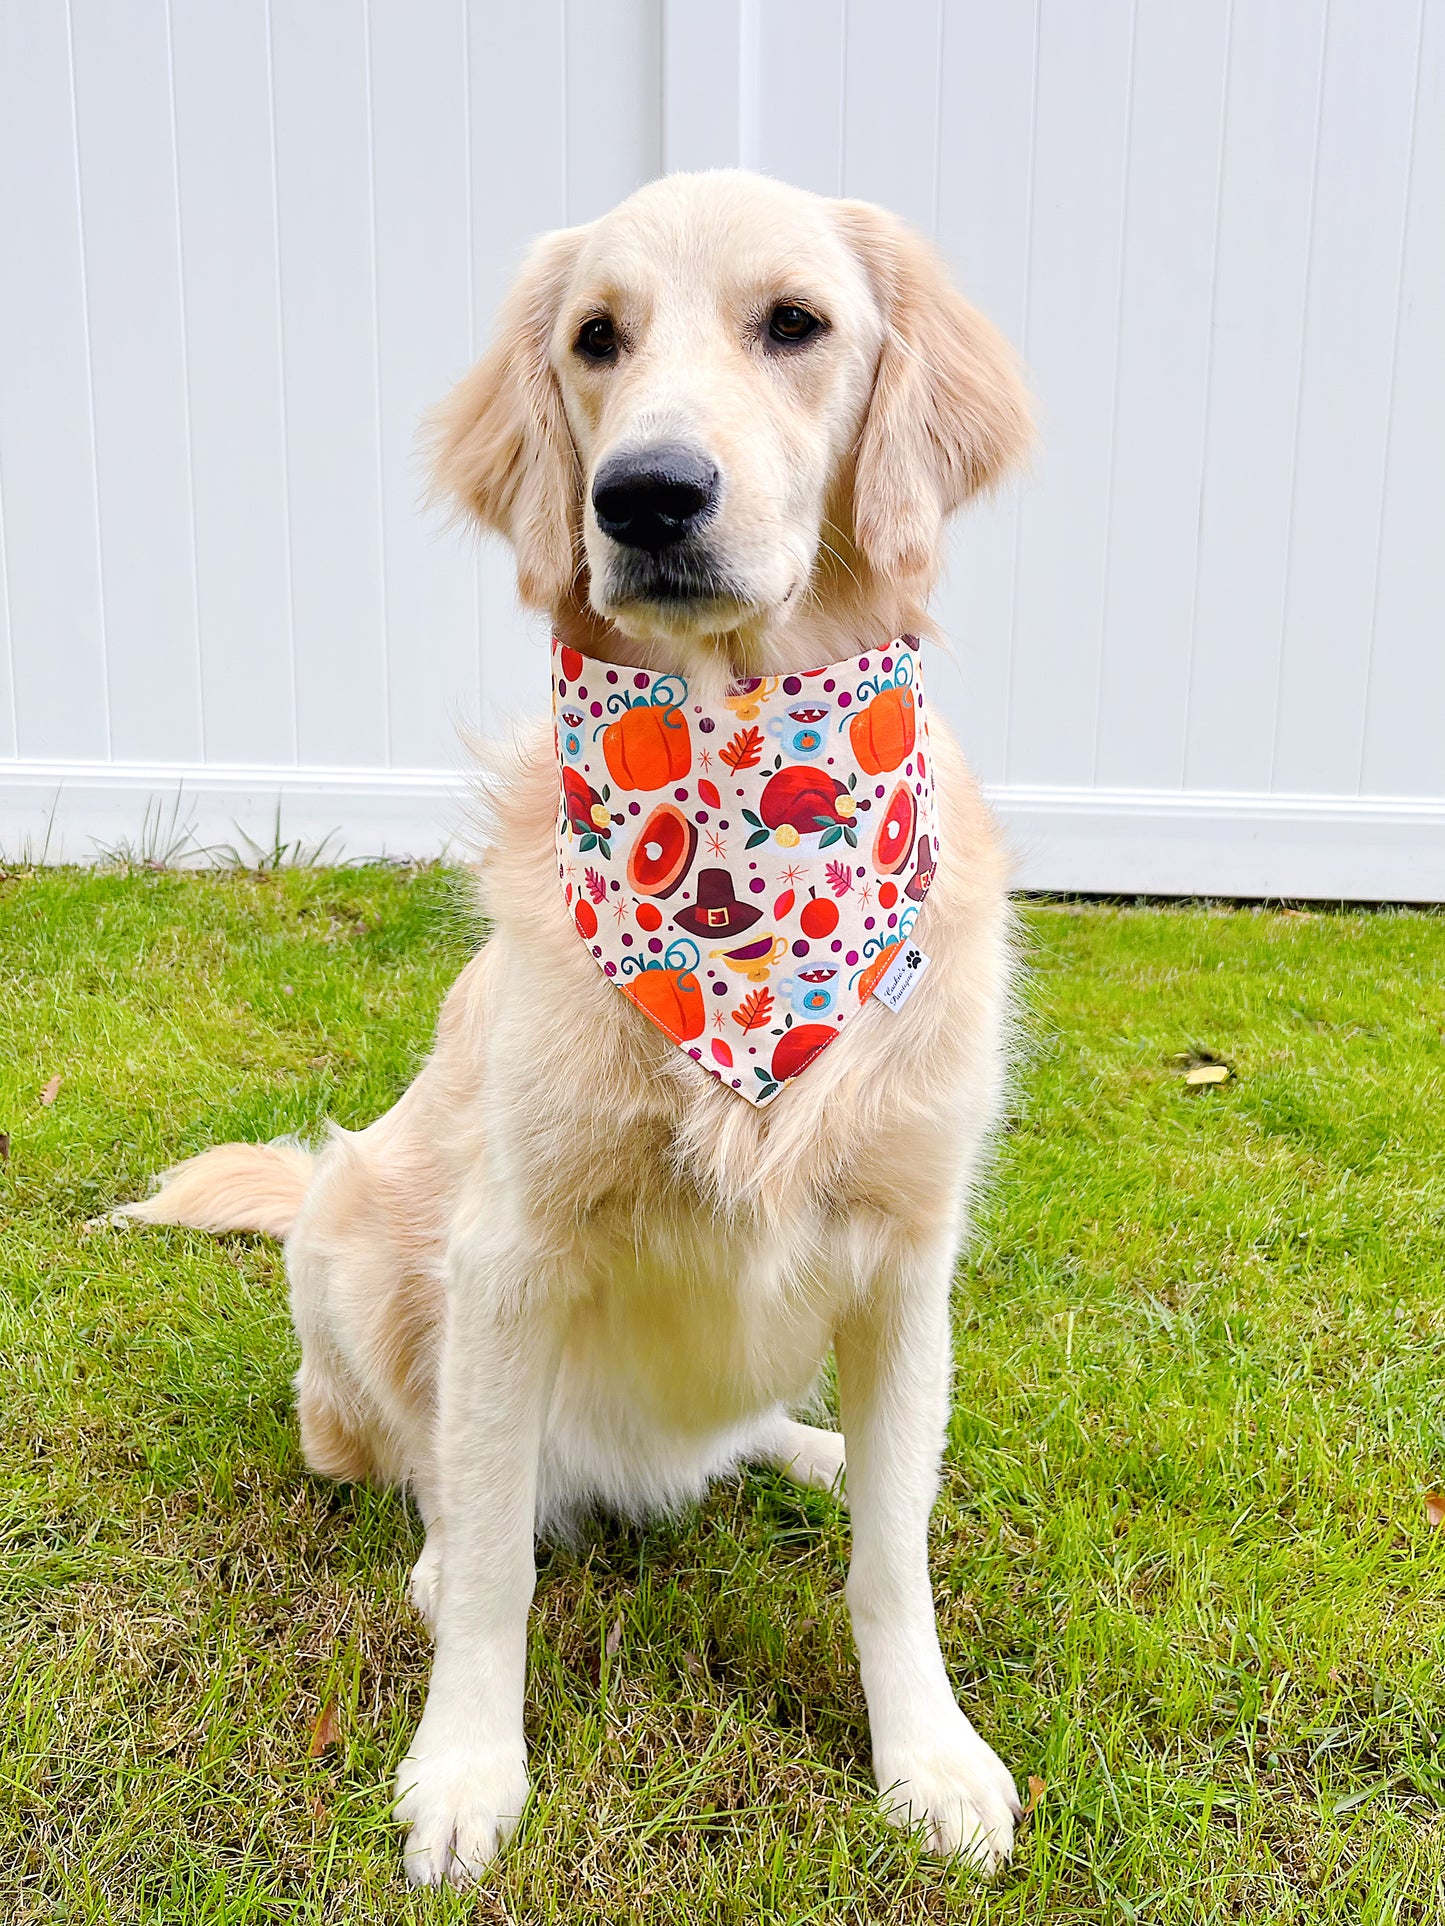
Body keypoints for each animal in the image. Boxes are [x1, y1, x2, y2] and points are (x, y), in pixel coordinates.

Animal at [124, 165, 1032, 1879]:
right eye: (596, 339)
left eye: (795, 324)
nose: (646, 495)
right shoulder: (510, 1252)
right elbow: (495, 1559)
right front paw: (468, 1767)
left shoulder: (908, 1254)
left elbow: (891, 1558)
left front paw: (928, 1755)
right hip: (348, 1234)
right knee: (429, 1470)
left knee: (774, 1445)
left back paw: (804, 1446)